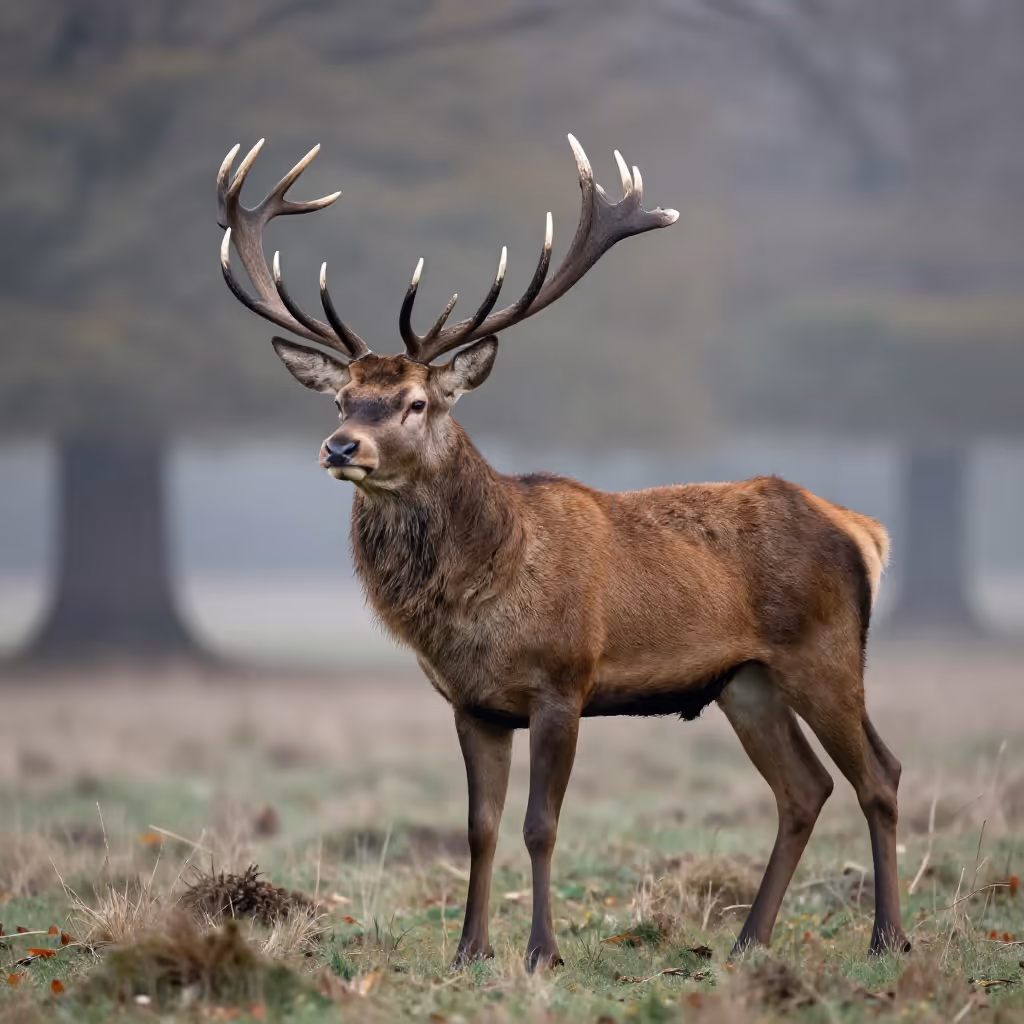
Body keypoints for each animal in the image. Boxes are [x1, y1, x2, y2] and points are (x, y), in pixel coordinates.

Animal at [215, 135, 908, 970]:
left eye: (417, 402)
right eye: (342, 399)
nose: (341, 446)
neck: (486, 589)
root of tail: (862, 528)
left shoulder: (562, 683)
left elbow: (539, 826)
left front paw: (542, 952)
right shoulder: (472, 704)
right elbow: (479, 829)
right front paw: (470, 951)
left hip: (825, 651)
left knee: (880, 774)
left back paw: (887, 938)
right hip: (747, 681)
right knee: (804, 788)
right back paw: (748, 940)